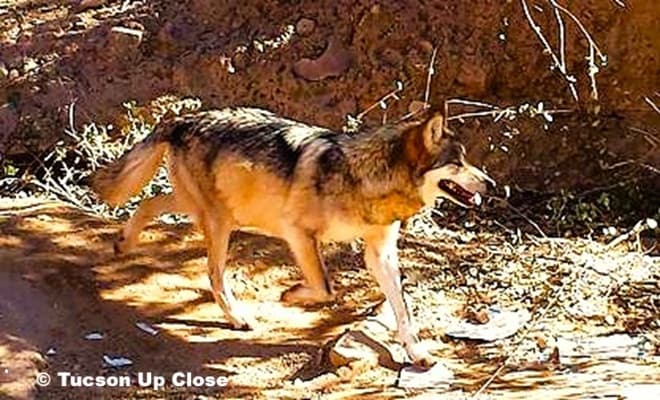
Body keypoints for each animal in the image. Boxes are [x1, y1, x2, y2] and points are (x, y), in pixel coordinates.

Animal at [92, 106, 493, 368]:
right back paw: (237, 317)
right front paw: (289, 295)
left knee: (149, 202)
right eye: (457, 163)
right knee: (213, 275)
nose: (490, 183)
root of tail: (183, 119)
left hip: (213, 211)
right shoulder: (297, 233)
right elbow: (326, 288)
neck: (362, 177)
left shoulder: (381, 254)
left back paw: (124, 242)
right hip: (221, 222)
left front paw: (418, 353)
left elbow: (403, 311)